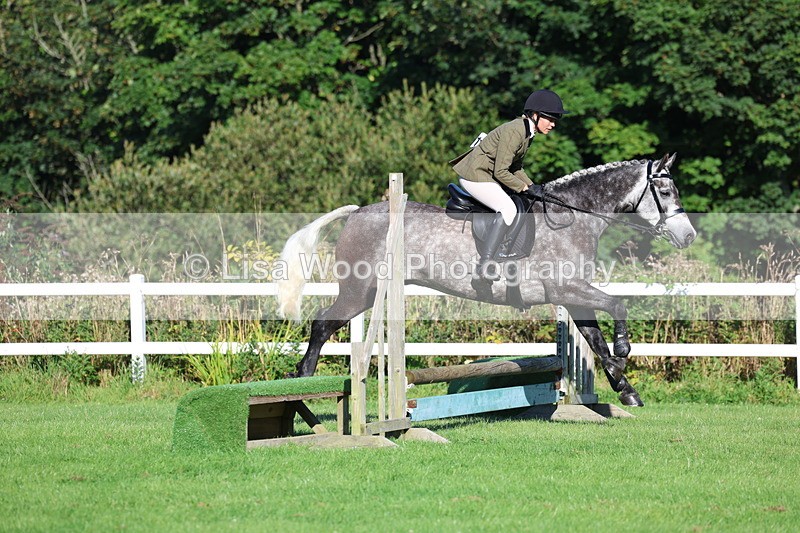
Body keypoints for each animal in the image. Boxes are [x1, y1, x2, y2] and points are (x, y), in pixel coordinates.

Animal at [276, 153, 696, 406]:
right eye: (664, 190)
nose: (689, 236)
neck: (574, 218)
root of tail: (357, 213)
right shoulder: (567, 289)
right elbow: (617, 305)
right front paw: (625, 350)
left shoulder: (574, 297)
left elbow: (596, 341)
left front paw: (626, 390)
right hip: (360, 291)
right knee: (321, 324)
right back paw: (302, 381)